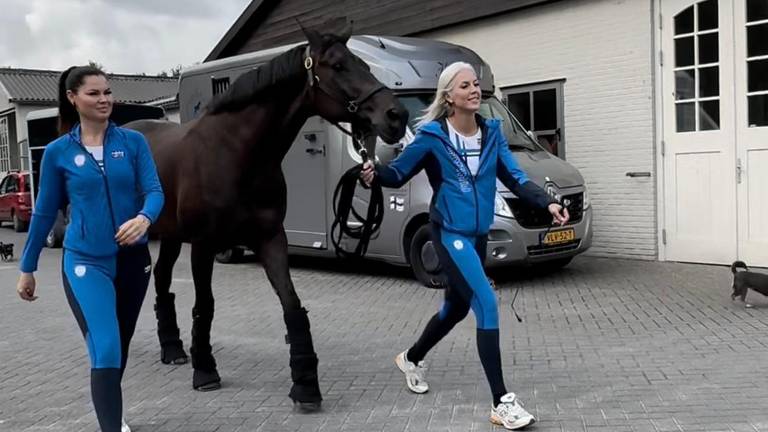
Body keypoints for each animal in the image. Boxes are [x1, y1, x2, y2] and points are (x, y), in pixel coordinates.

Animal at [127, 28, 408, 410]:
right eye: (338, 66)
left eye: (364, 65)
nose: (397, 116)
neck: (237, 155)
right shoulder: (204, 245)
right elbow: (205, 305)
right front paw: (205, 371)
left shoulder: (271, 238)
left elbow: (292, 304)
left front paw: (305, 384)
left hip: (170, 235)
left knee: (161, 280)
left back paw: (172, 350)